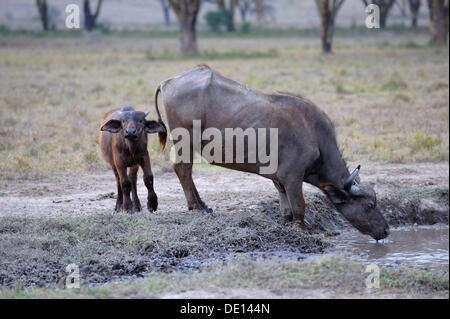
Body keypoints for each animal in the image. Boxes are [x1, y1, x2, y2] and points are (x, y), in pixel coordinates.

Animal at [153, 65, 388, 240]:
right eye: (369, 205)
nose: (386, 230)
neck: (314, 134)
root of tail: (168, 81)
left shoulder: (278, 179)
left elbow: (286, 210)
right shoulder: (292, 177)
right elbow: (299, 207)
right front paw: (303, 232)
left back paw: (202, 204)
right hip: (185, 140)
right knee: (183, 168)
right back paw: (196, 207)